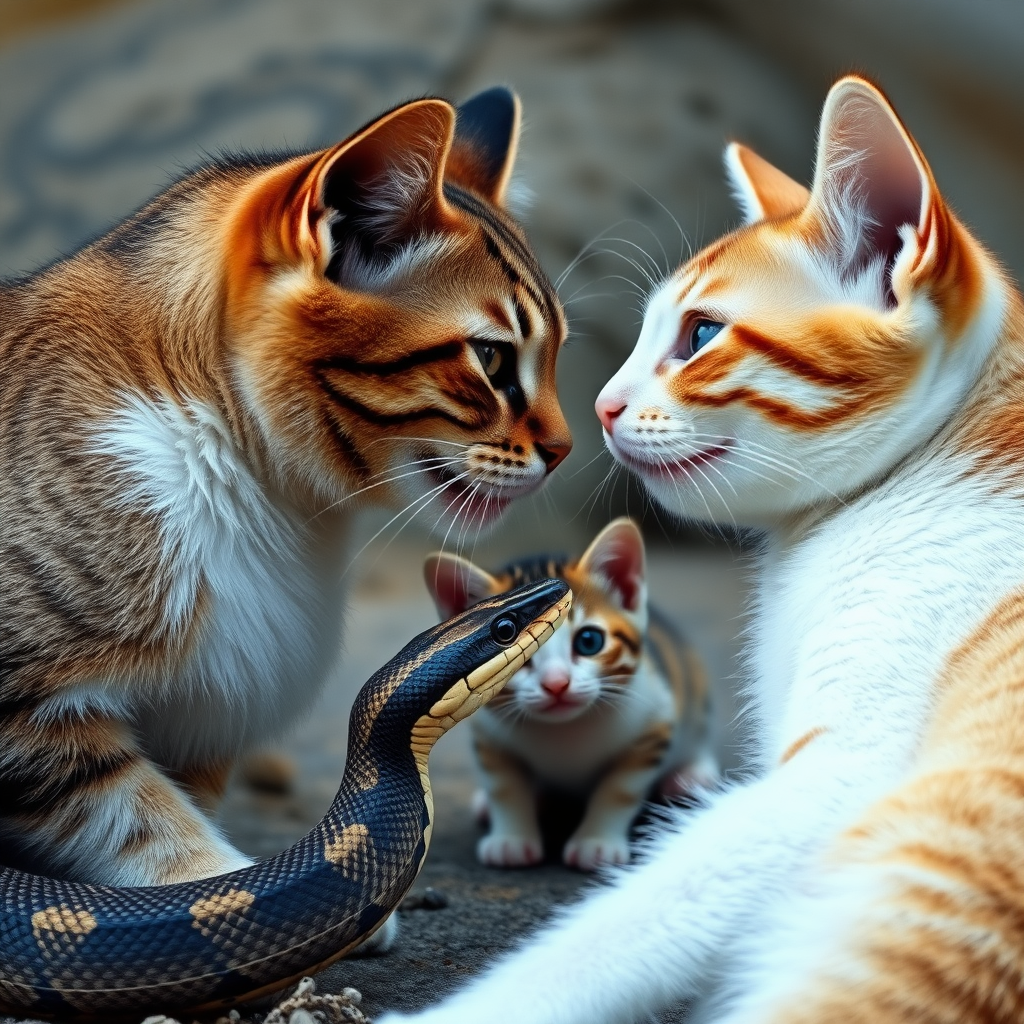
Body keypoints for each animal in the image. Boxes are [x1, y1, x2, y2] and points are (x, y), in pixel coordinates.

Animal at [0, 86, 573, 888]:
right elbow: (140, 818)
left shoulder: (212, 715)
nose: (565, 449)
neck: (261, 491)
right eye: (491, 360)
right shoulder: (29, 708)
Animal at [419, 520, 716, 872]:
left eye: (589, 641)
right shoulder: (489, 737)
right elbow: (505, 787)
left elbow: (620, 790)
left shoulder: (654, 724)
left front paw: (596, 842)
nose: (556, 684)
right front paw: (511, 839)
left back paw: (692, 774)